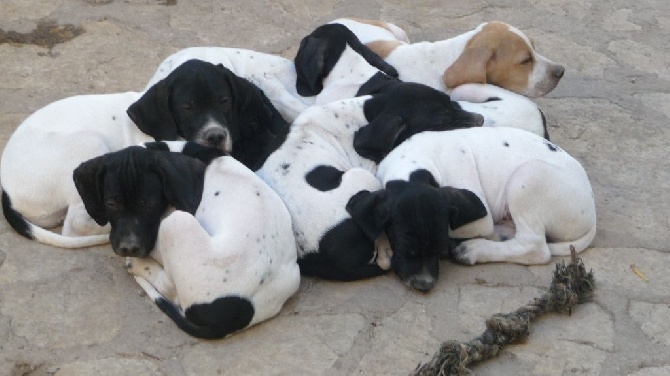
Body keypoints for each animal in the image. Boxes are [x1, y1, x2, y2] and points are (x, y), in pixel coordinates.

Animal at [256, 83, 484, 282]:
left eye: (451, 102)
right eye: (440, 121)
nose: (481, 119)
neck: (366, 113)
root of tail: (316, 256)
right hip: (361, 177)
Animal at [350, 128, 596, 292]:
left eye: (438, 248)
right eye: (406, 248)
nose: (424, 285)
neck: (413, 165)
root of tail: (591, 213)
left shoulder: (479, 215)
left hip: (527, 176)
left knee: (534, 246)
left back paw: (475, 249)